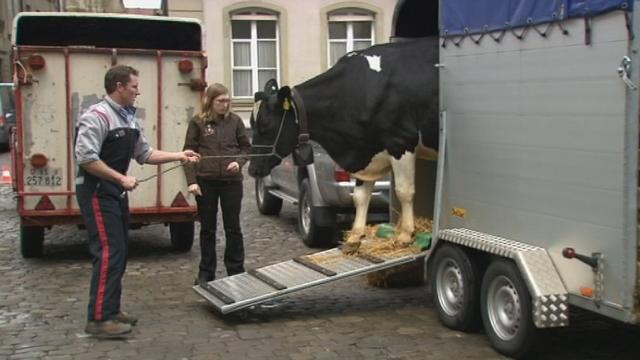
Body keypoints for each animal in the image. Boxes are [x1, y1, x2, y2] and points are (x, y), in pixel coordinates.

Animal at [250, 37, 440, 250]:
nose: (252, 169)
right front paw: (355, 236)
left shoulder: (401, 142)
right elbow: (360, 196)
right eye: (252, 122)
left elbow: (404, 191)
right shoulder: (365, 149)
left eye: (265, 124)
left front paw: (406, 234)